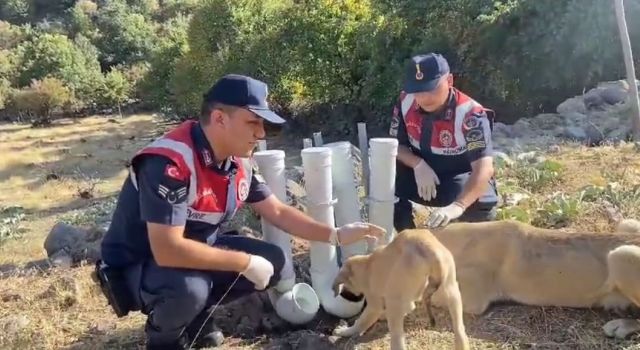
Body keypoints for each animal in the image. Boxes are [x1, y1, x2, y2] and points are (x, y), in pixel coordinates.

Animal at [330, 228, 470, 348]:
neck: (366, 264)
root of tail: (429, 249)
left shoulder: (374, 303)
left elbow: (362, 321)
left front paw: (345, 331)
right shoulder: (406, 301)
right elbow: (408, 308)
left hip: (394, 301)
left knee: (397, 338)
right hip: (452, 291)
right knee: (459, 330)